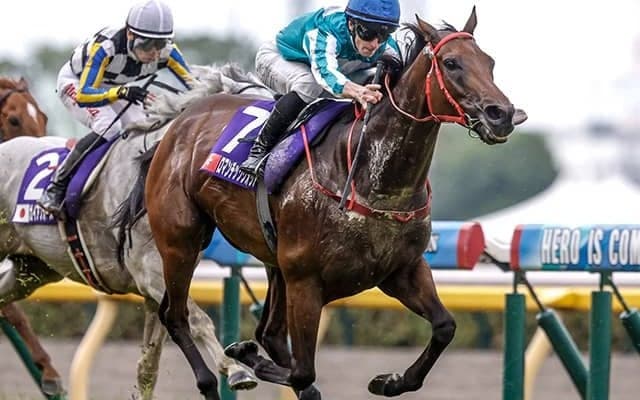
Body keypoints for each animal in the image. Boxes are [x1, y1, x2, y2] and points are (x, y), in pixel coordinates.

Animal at [0, 68, 265, 399]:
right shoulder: (151, 274)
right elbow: (198, 319)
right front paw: (236, 369)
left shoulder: (162, 283)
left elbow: (148, 367)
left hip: (33, 271)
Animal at [117, 8, 526, 400]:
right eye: (451, 63)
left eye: (489, 62)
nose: (502, 114)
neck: (373, 181)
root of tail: (178, 125)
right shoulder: (306, 281)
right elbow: (302, 371)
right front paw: (245, 355)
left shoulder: (402, 270)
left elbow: (444, 327)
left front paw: (390, 381)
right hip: (181, 241)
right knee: (176, 315)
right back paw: (213, 379)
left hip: (272, 262)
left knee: (268, 332)